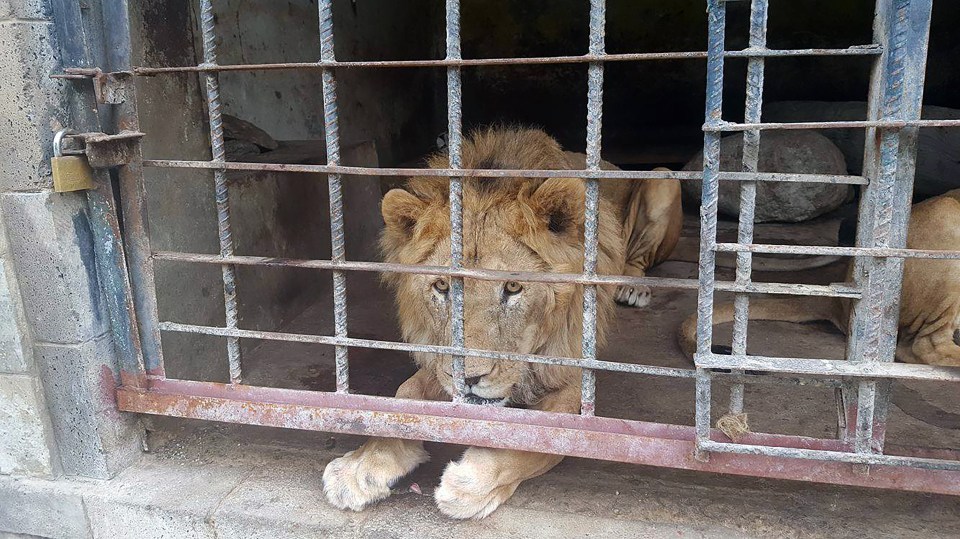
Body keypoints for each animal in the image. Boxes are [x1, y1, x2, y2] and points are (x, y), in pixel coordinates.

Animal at [322, 125, 684, 520]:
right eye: (442, 286)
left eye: (512, 287)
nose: (469, 379)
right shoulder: (440, 363)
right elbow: (403, 399)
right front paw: (362, 465)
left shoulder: (573, 379)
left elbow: (535, 437)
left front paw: (471, 482)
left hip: (664, 180)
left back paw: (632, 286)